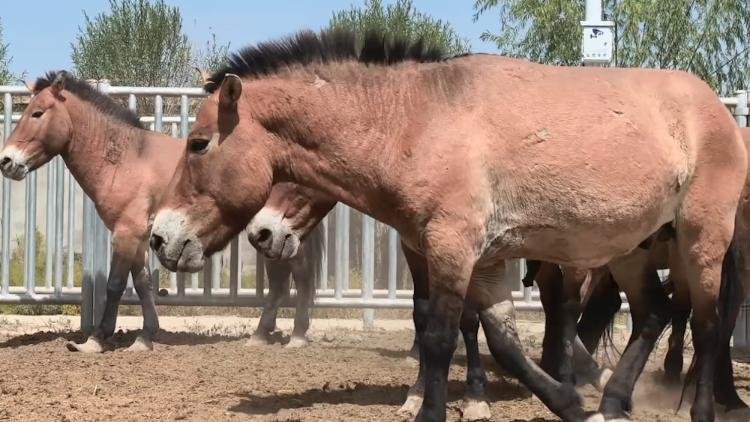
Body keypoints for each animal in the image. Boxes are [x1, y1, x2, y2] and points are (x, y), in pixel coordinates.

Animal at [149, 29, 746, 422]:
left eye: (198, 143)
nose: (161, 237)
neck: (417, 119)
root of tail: (716, 109)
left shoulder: (453, 248)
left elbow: (439, 336)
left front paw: (431, 411)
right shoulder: (476, 259)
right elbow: (501, 342)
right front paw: (571, 403)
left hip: (702, 240)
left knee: (708, 324)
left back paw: (702, 409)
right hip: (633, 249)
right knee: (654, 314)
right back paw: (615, 402)